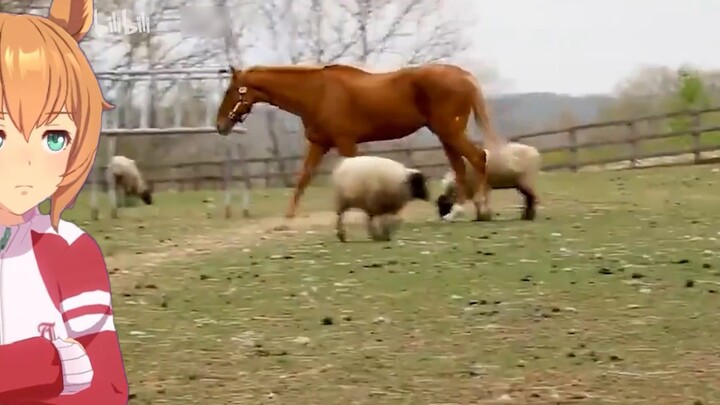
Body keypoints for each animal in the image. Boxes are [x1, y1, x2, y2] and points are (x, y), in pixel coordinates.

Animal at [214, 63, 498, 219]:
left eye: (232, 91)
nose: (219, 125)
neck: (317, 93)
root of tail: (463, 75)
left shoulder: (346, 143)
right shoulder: (319, 145)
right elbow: (303, 178)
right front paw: (288, 216)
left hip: (449, 132)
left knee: (477, 158)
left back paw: (482, 208)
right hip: (446, 134)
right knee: (461, 166)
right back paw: (459, 210)